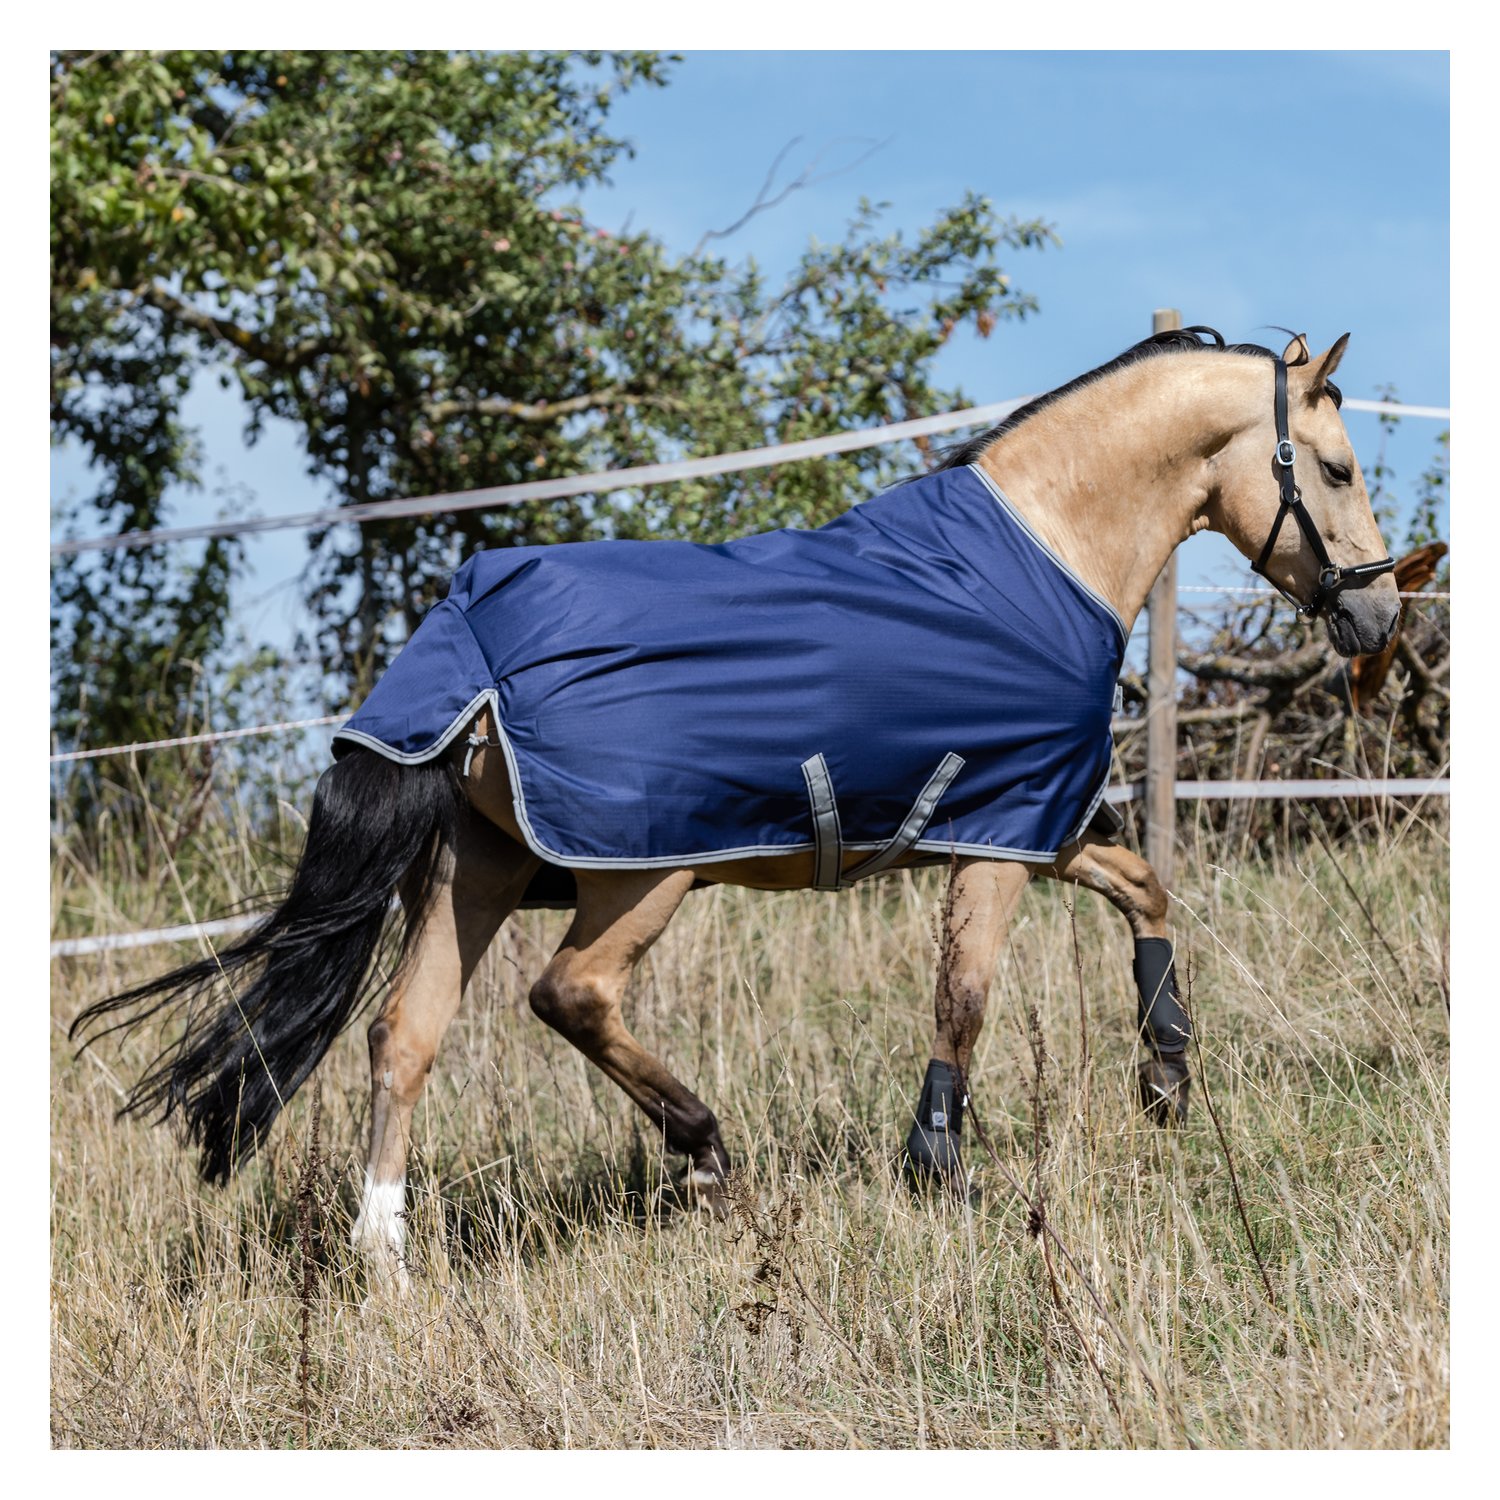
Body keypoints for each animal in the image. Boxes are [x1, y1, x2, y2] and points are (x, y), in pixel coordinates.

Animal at [71, 327, 1400, 1292]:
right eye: (1336, 469)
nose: (1376, 616)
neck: (1045, 549)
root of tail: (470, 638)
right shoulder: (1004, 831)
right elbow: (966, 998)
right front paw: (941, 1173)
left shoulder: (1043, 822)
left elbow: (1144, 888)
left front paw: (1165, 1075)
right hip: (637, 873)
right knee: (570, 996)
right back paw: (706, 1154)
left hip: (480, 869)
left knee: (404, 1039)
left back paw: (388, 1261)